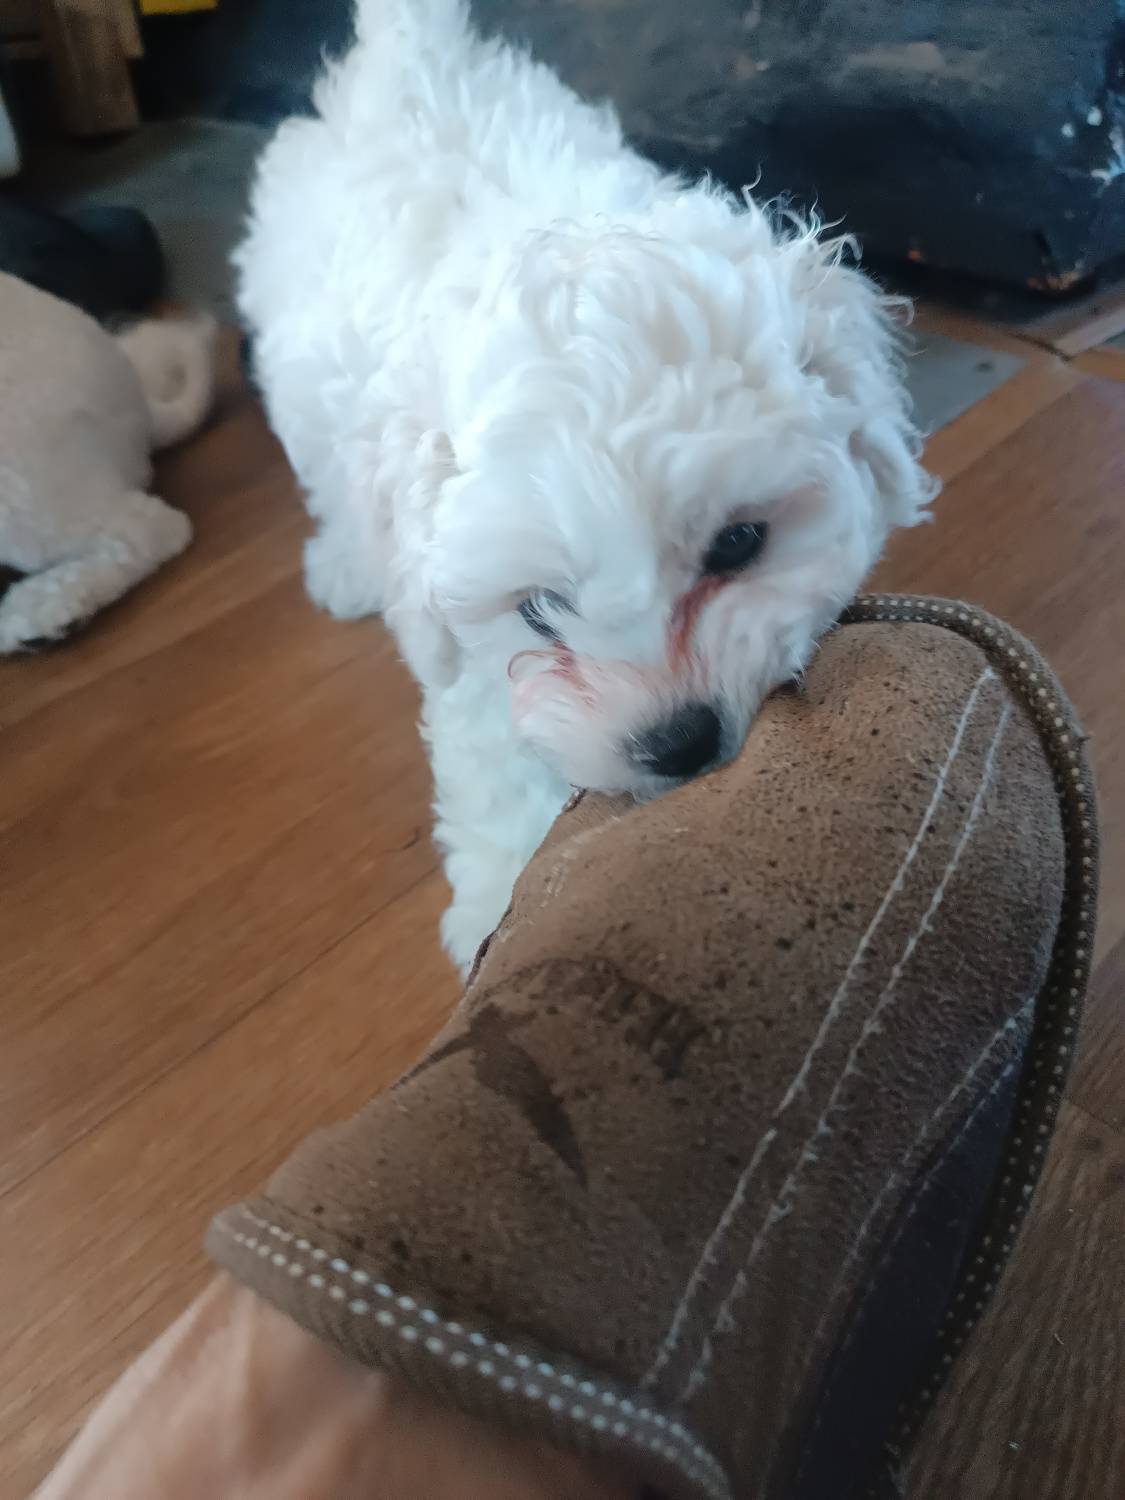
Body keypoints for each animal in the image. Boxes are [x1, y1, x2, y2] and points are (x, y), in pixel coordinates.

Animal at [236, 0, 936, 972]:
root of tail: (404, 58)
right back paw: (344, 565)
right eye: (537, 609)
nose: (677, 742)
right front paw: (495, 902)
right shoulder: (469, 665)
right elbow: (494, 761)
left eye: (737, 543)